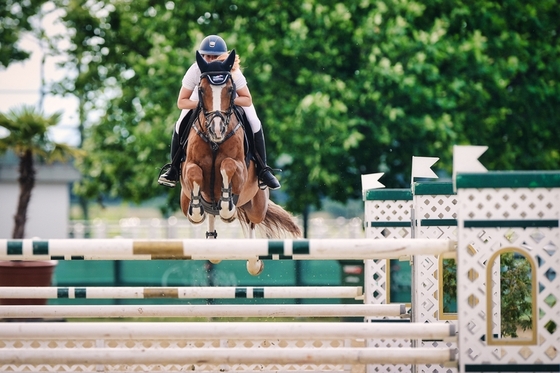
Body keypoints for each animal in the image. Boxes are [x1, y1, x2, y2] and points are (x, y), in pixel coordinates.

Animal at [179, 50, 302, 274]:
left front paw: (228, 208)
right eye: (201, 90)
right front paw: (197, 208)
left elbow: (227, 166)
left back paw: (253, 261)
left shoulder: (240, 169)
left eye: (230, 90)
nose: (217, 130)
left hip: (257, 205)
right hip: (185, 200)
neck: (215, 144)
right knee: (210, 213)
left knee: (253, 222)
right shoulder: (188, 170)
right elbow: (194, 174)